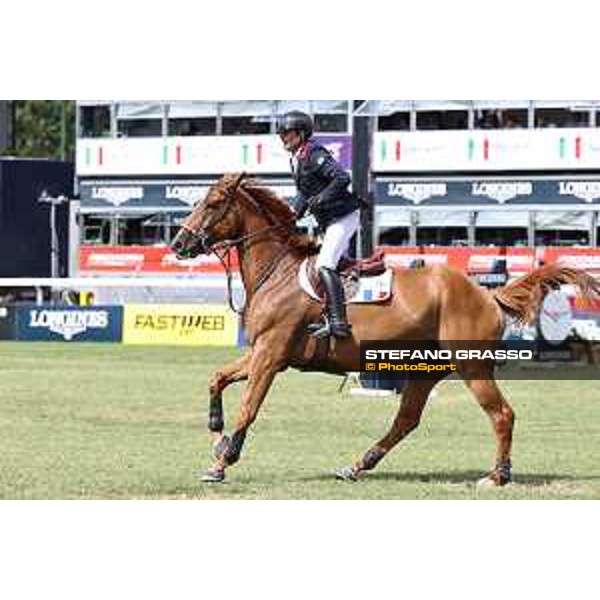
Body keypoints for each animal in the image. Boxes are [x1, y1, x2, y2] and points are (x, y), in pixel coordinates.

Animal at [170, 171, 600, 486]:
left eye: (212, 204)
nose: (178, 244)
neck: (276, 272)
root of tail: (485, 294)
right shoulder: (262, 351)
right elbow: (217, 379)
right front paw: (217, 435)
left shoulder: (271, 355)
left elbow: (248, 407)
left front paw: (222, 462)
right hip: (425, 369)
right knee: (406, 420)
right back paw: (357, 465)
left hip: (471, 366)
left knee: (502, 415)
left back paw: (497, 476)